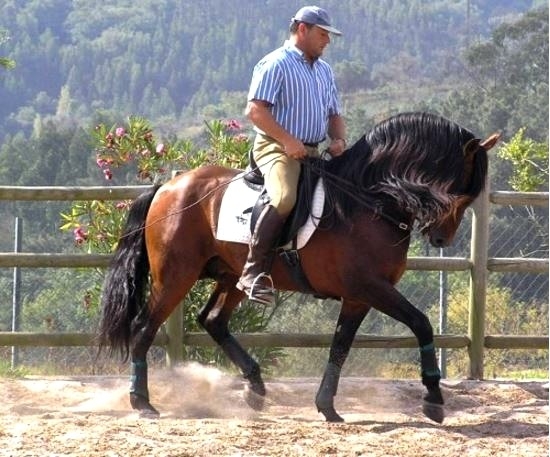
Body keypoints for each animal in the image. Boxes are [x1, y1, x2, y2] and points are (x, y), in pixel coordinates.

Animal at [98, 112, 500, 422]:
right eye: (465, 187)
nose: (441, 238)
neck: (368, 201)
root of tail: (169, 187)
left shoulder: (359, 296)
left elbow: (340, 346)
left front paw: (327, 407)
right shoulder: (371, 288)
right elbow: (421, 323)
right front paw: (433, 400)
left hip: (233, 275)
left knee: (213, 321)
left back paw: (256, 389)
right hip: (176, 276)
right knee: (144, 327)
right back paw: (142, 402)